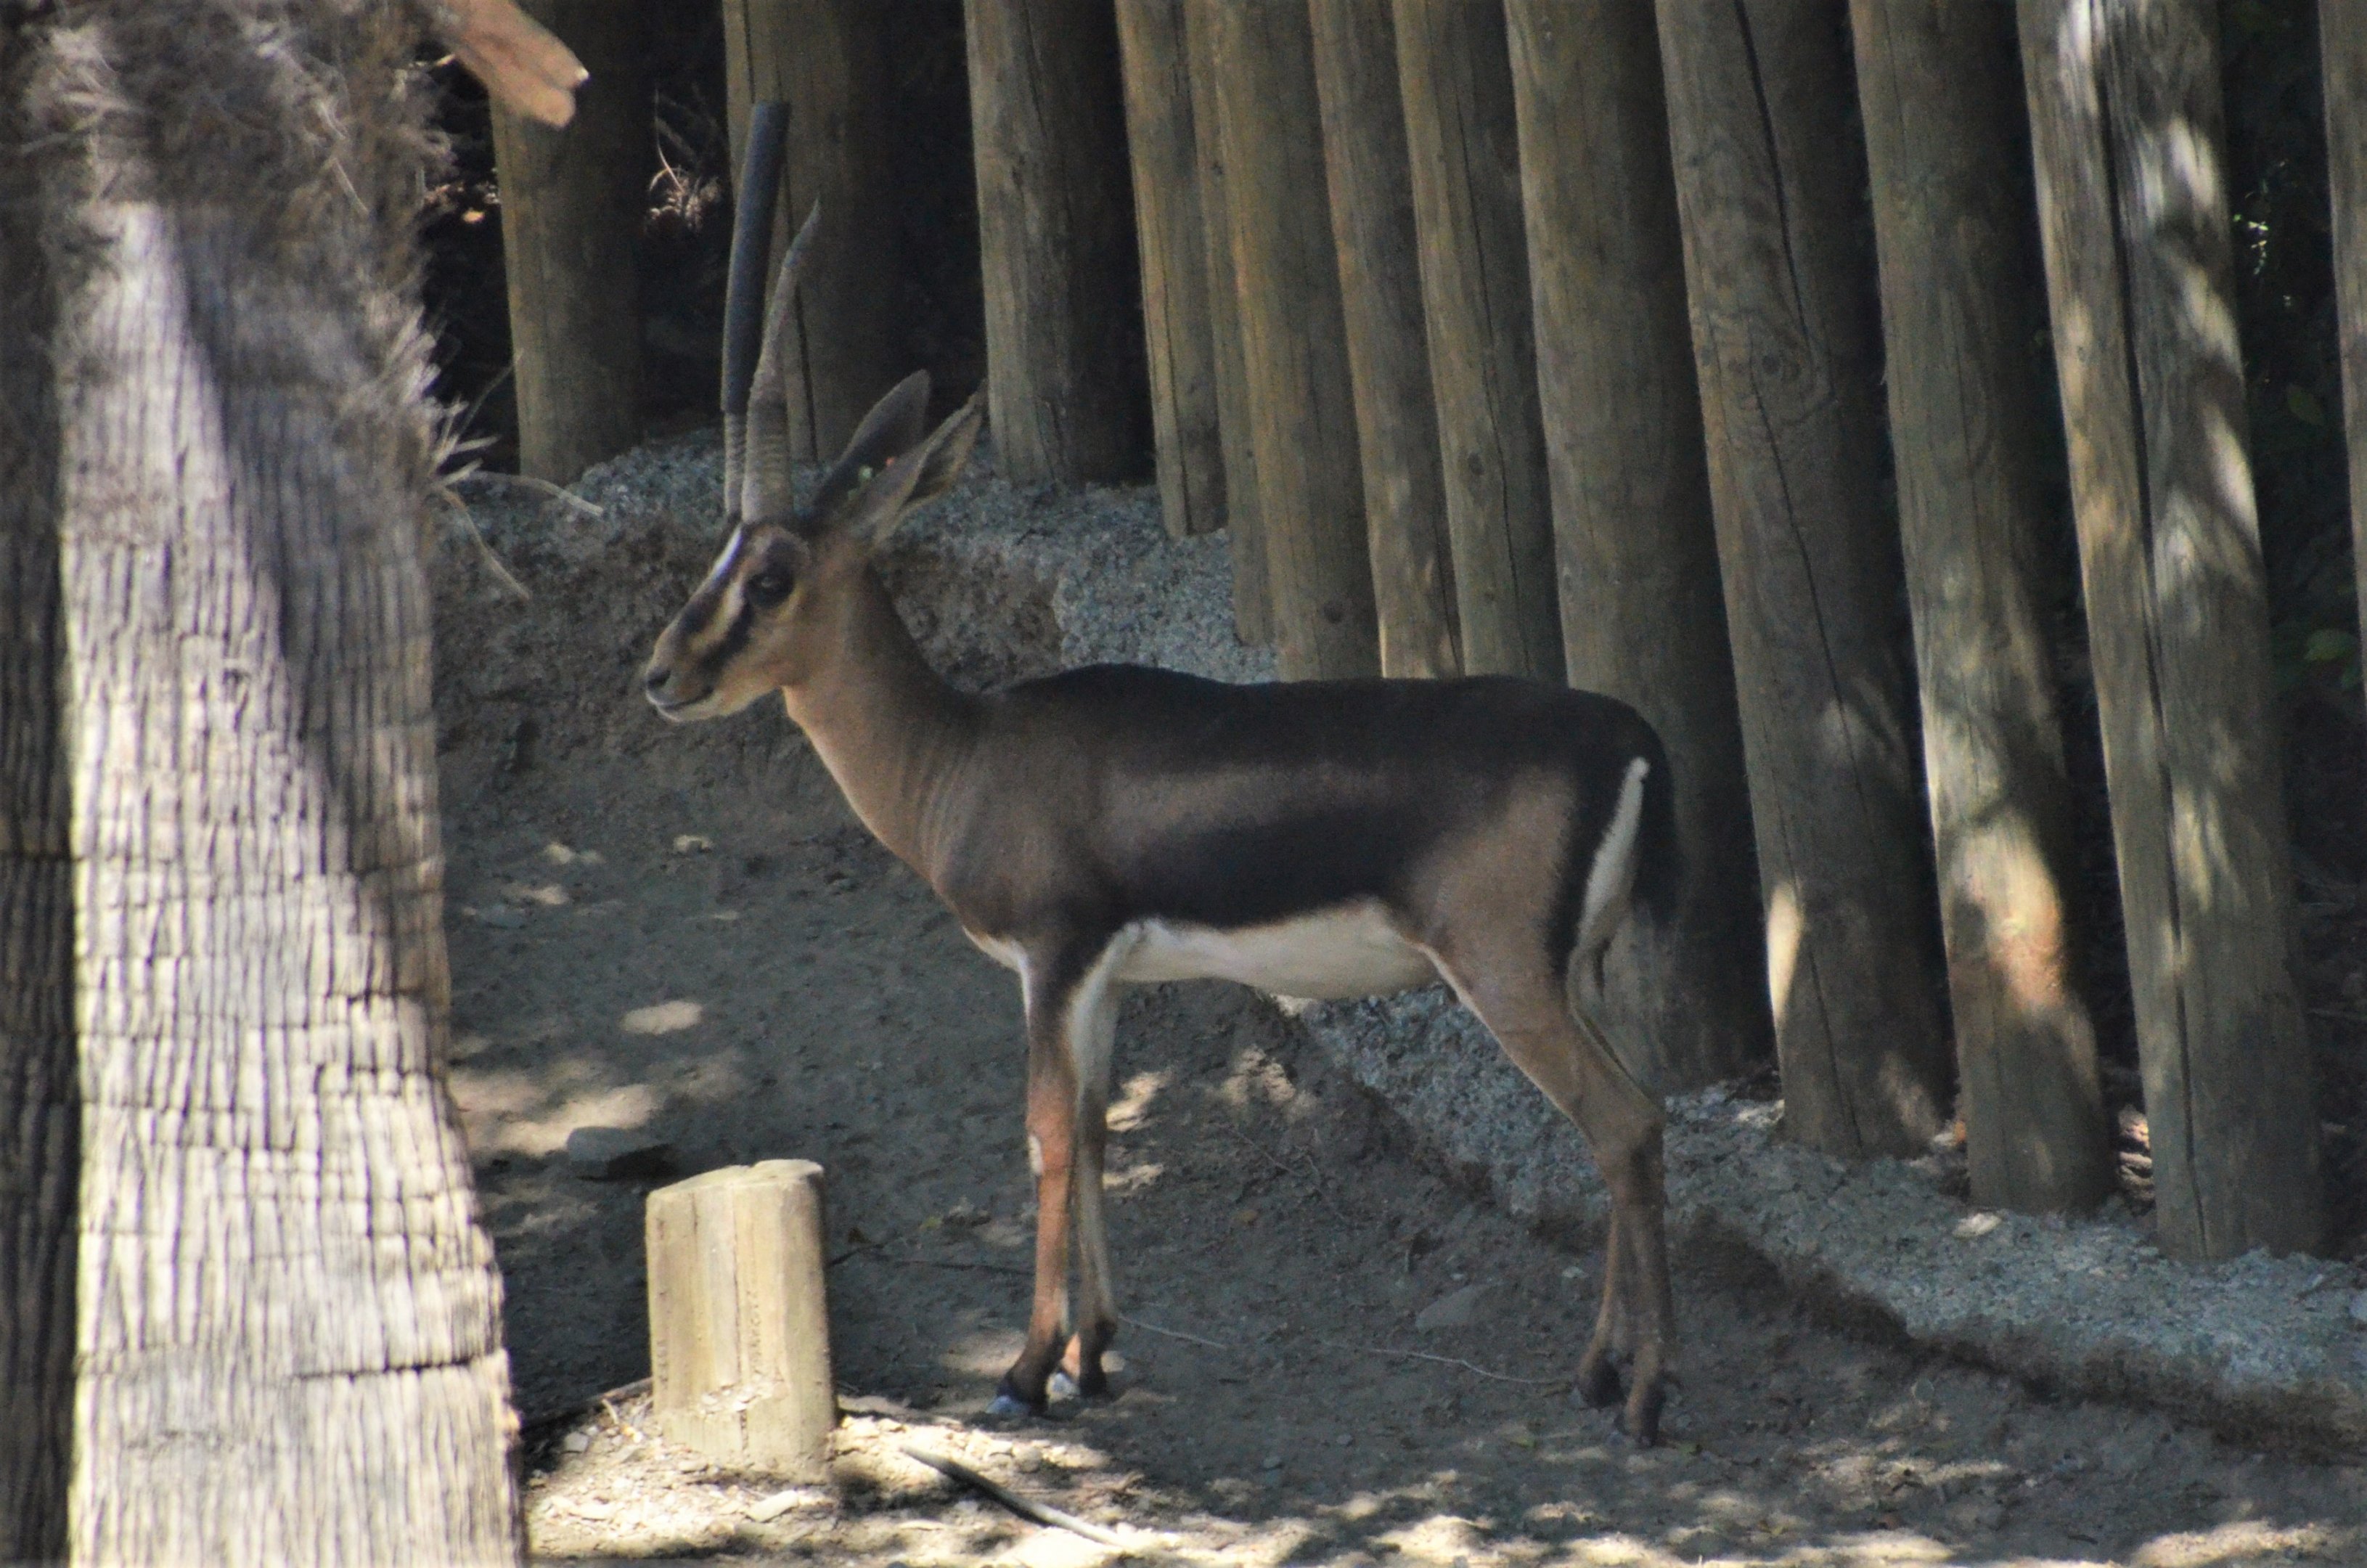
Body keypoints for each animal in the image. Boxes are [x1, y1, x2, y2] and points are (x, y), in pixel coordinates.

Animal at [642, 109, 1684, 1445]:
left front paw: (1026, 1369)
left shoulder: (1053, 958)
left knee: (1625, 1125)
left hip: (1504, 976)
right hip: (1581, 976)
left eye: (770, 577)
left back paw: (1643, 1396)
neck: (967, 757)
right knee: (1635, 1124)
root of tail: (1627, 735)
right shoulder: (1103, 980)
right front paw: (1093, 1353)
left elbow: (1044, 1133)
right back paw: (1603, 1371)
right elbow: (1093, 1131)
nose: (662, 675)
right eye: (717, 560)